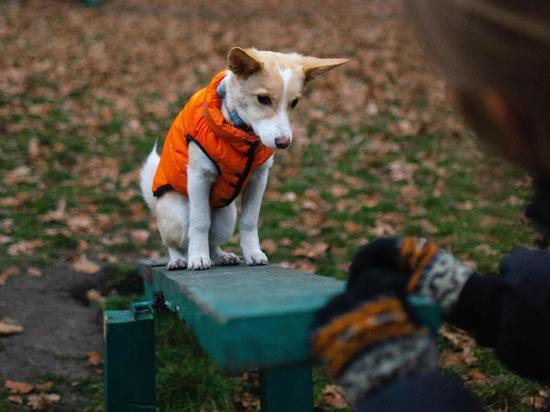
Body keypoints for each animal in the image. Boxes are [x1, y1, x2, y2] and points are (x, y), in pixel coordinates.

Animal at [141, 47, 350, 270]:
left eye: (294, 102)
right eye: (263, 99)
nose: (283, 143)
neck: (243, 135)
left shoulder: (258, 179)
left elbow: (249, 221)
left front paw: (253, 253)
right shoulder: (199, 178)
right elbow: (200, 223)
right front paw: (197, 257)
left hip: (226, 218)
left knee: (213, 241)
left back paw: (223, 256)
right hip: (177, 215)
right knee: (174, 241)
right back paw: (179, 259)